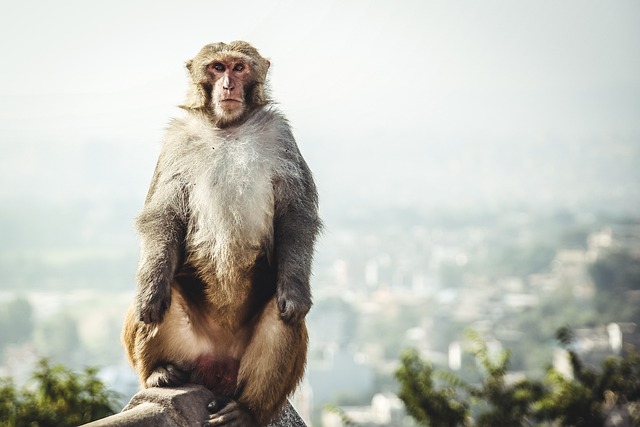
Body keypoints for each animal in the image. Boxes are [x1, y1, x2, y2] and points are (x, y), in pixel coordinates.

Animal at [121, 41, 320, 427]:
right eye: (216, 67)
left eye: (239, 68)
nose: (228, 85)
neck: (228, 127)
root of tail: (217, 371)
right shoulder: (177, 140)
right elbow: (163, 214)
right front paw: (150, 292)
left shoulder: (280, 135)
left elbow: (295, 214)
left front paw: (295, 291)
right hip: (190, 351)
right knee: (164, 297)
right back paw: (159, 372)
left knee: (283, 316)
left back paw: (247, 410)